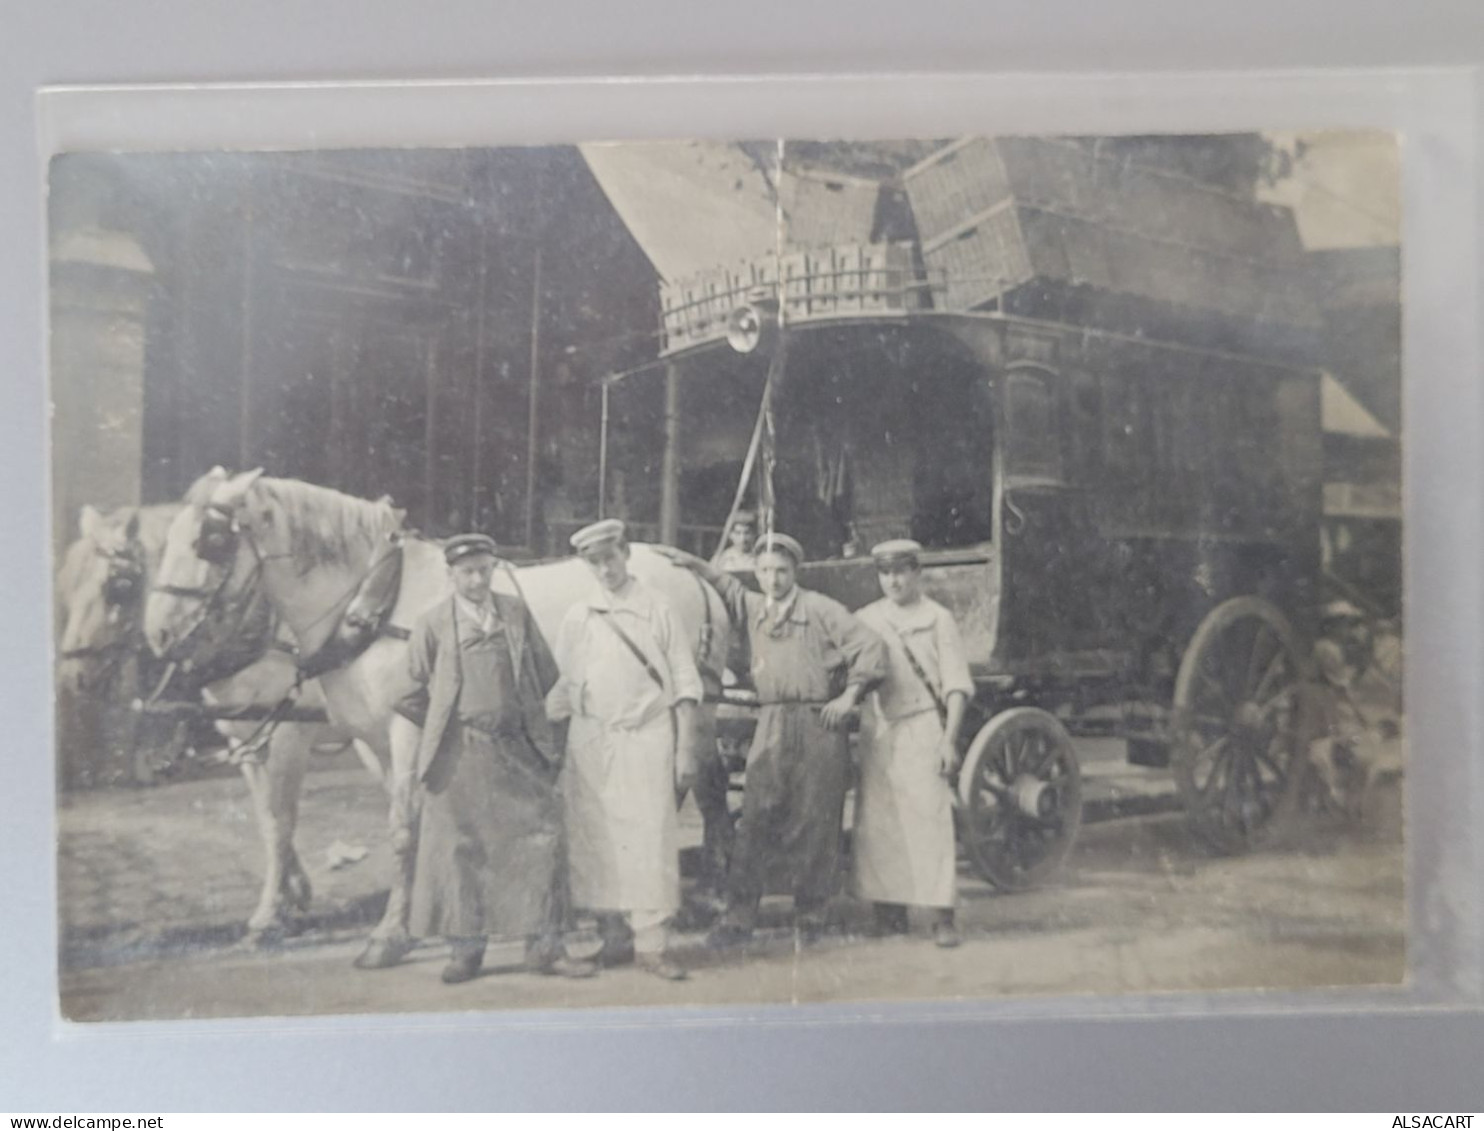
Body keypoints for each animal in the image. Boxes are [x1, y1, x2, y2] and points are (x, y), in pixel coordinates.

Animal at [58, 504, 373, 943]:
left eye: (117, 587)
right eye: (66, 585)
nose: (73, 677)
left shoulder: (290, 733)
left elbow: (281, 818)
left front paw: (269, 912)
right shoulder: (246, 738)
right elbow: (265, 816)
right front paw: (293, 895)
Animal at [141, 466, 733, 967]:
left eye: (211, 541)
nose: (158, 634)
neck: (377, 602)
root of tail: (689, 567)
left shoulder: (380, 731)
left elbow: (374, 827)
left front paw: (384, 936)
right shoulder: (370, 740)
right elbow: (384, 824)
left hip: (691, 713)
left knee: (697, 791)